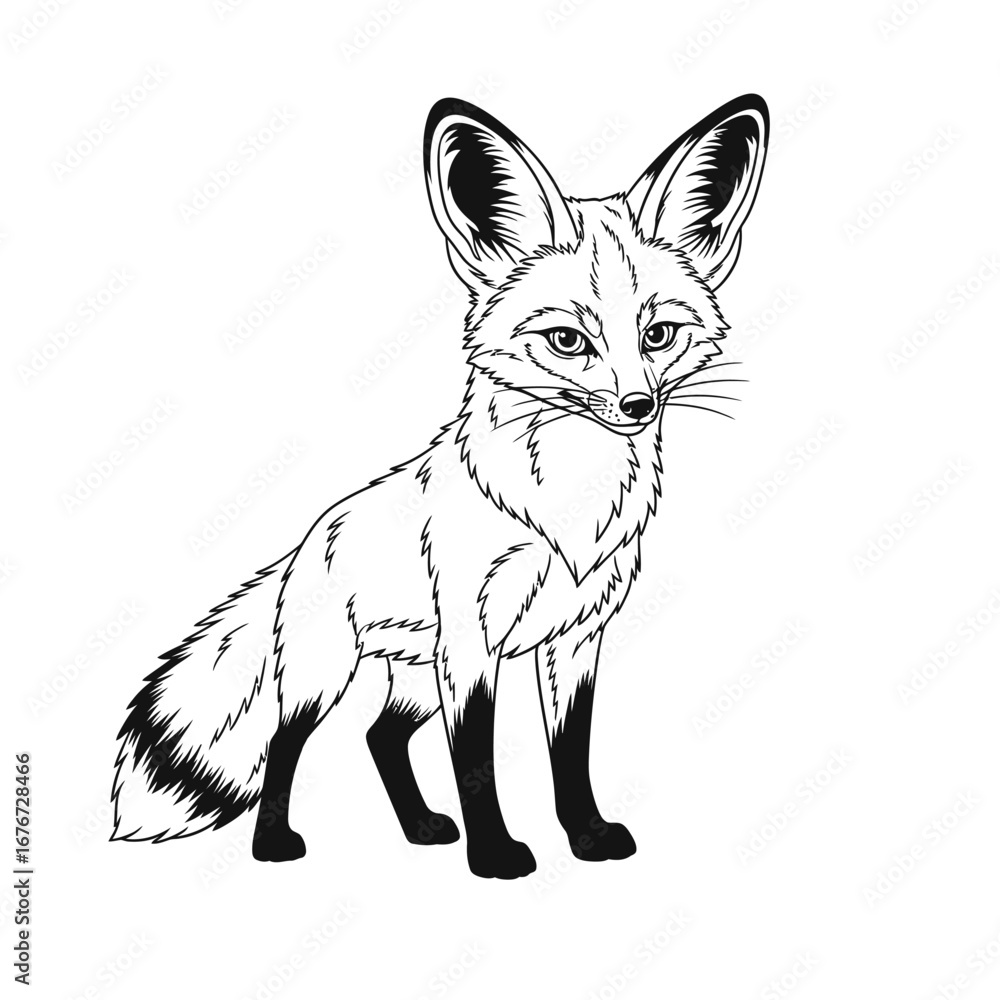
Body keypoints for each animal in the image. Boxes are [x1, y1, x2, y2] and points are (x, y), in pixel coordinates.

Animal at [111, 95, 769, 879]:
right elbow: (475, 762)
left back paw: (422, 827)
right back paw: (274, 845)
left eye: (659, 335)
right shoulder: (473, 643)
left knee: (379, 737)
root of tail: (304, 543)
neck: (569, 512)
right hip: (329, 678)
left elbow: (569, 757)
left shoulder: (576, 642)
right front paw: (497, 856)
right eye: (568, 342)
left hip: (417, 680)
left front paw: (585, 837)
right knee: (283, 742)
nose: (637, 407)